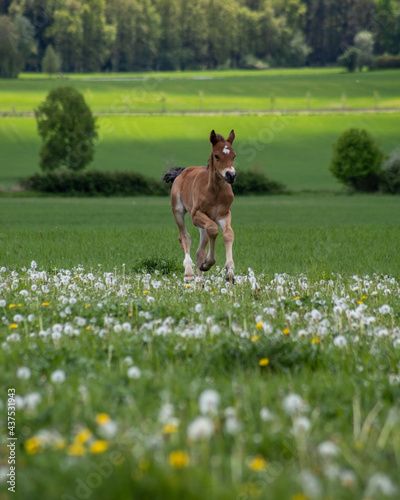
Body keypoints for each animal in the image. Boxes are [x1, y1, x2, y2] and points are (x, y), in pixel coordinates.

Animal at [162, 130, 238, 282]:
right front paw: (208, 264)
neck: (215, 191)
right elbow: (213, 230)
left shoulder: (224, 215)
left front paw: (229, 272)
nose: (231, 175)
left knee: (200, 251)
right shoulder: (196, 215)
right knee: (184, 237)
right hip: (178, 210)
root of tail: (183, 170)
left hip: (202, 225)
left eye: (234, 155)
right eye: (216, 155)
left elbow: (228, 234)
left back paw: (200, 281)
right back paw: (189, 273)